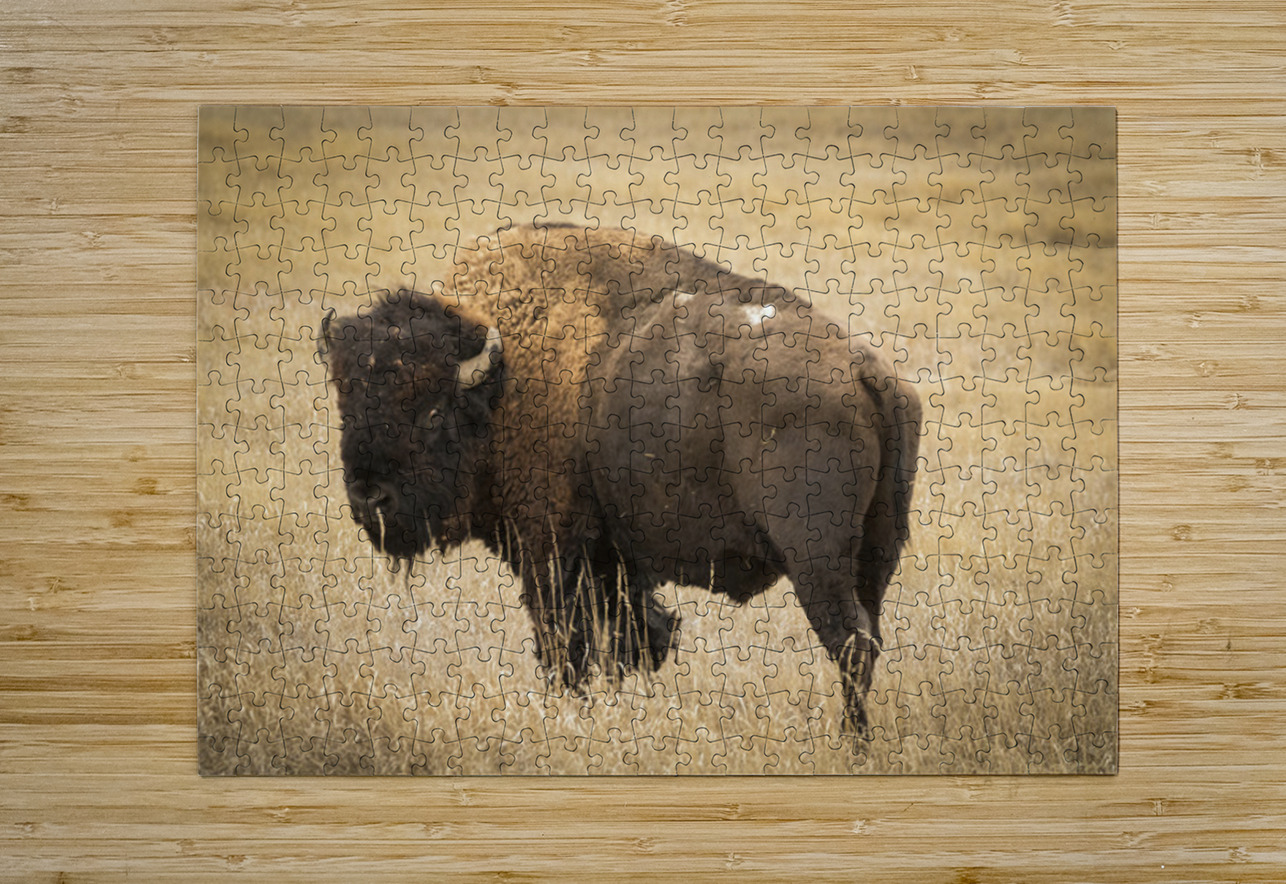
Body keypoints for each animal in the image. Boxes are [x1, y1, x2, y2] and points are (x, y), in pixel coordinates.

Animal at [320, 224, 921, 737]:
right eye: (345, 405)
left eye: (431, 412)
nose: (370, 498)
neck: (502, 382)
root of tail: (866, 371)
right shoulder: (614, 559)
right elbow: (631, 639)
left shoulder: (551, 552)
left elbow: (566, 642)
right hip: (875, 555)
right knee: (869, 636)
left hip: (817, 561)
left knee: (850, 643)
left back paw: (851, 741)